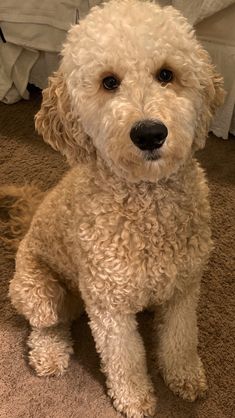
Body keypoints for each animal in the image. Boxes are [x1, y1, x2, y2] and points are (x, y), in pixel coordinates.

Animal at [7, 1, 224, 416]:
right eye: (109, 82)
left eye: (166, 74)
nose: (150, 133)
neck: (147, 203)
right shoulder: (109, 307)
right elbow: (125, 358)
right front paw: (136, 398)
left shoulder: (184, 288)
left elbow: (180, 339)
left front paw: (185, 377)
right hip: (37, 290)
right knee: (47, 323)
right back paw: (50, 354)